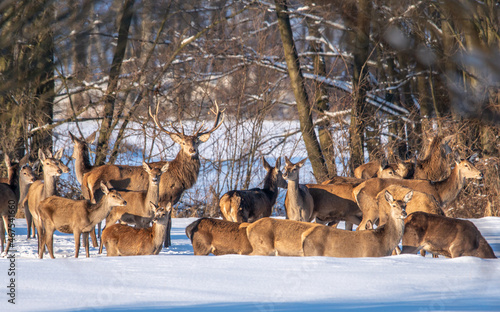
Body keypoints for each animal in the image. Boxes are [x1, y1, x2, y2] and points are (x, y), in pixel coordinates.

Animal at [354, 158, 482, 229]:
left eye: (472, 163)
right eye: (466, 165)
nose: (480, 173)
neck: (439, 192)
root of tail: (356, 190)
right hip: (371, 210)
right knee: (361, 227)